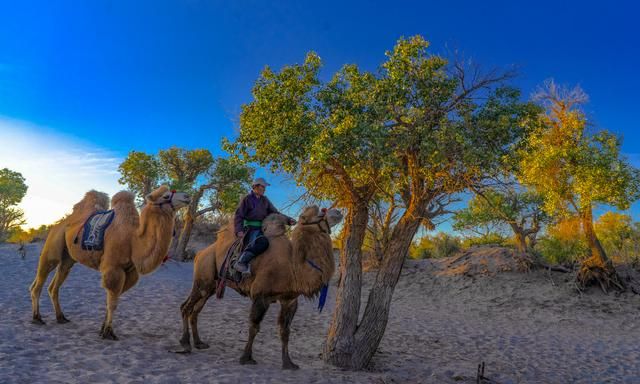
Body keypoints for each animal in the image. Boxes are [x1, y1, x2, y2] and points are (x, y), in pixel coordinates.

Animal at [30, 186, 190, 340]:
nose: (187, 196)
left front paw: (102, 329)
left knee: (55, 285)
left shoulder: (130, 272)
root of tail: (58, 224)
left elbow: (111, 301)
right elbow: (112, 303)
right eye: (166, 196)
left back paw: (61, 317)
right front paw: (108, 332)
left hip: (68, 258)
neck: (133, 240)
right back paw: (37, 318)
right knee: (39, 281)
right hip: (53, 246)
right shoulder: (113, 268)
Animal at [178, 206, 342, 370]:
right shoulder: (261, 296)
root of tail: (199, 253)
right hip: (203, 280)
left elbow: (285, 331)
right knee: (186, 307)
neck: (292, 267)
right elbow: (254, 327)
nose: (338, 212)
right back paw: (185, 344)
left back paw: (199, 343)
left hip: (211, 286)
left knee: (196, 310)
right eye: (319, 212)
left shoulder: (289, 300)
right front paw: (246, 358)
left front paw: (288, 363)